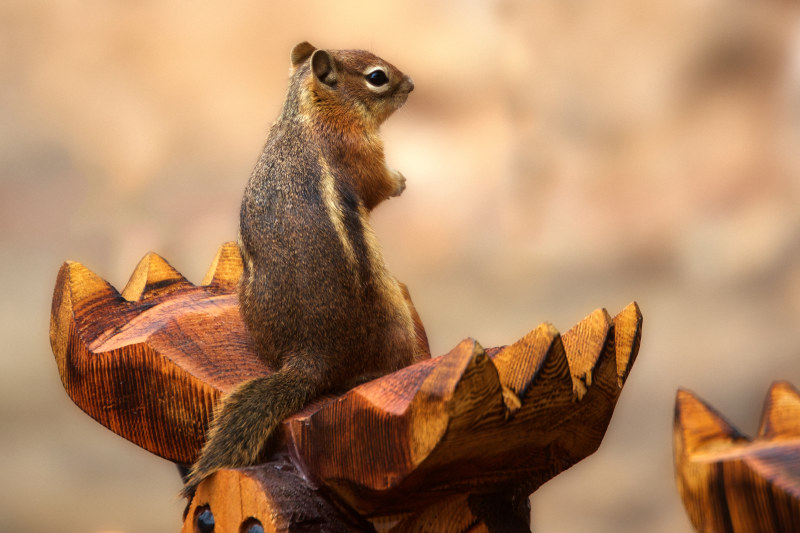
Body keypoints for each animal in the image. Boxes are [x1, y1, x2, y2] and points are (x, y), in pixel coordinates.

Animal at [183, 41, 432, 494]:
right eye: (377, 77)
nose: (411, 83)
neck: (307, 115)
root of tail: (310, 356)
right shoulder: (362, 150)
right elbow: (377, 186)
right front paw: (400, 180)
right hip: (396, 318)